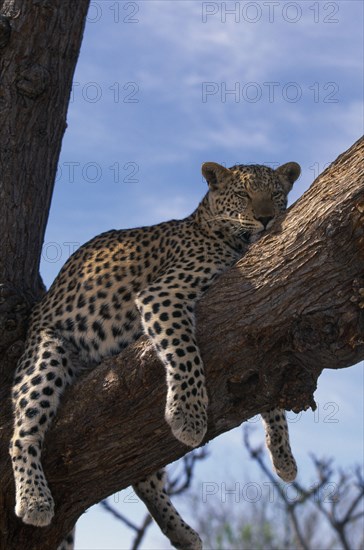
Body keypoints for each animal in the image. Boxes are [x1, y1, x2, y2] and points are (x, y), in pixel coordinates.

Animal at [10, 161, 302, 550]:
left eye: (276, 194)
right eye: (243, 194)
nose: (267, 218)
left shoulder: (259, 327)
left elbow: (271, 395)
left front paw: (283, 455)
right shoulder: (162, 295)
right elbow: (186, 352)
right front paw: (188, 416)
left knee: (143, 479)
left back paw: (181, 532)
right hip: (46, 356)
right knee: (22, 434)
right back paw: (35, 500)